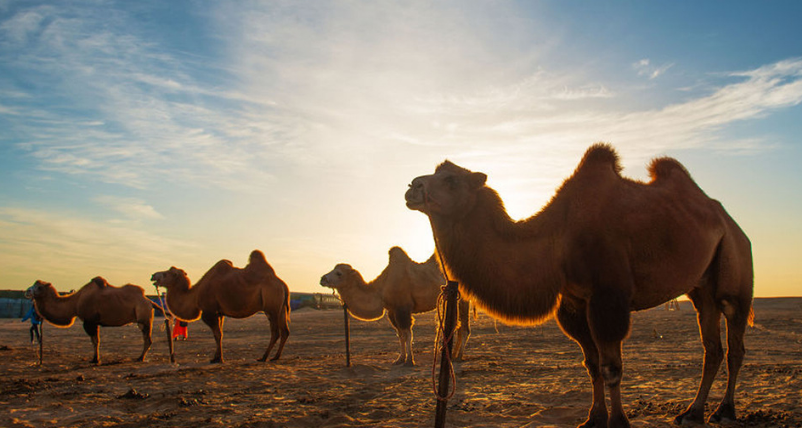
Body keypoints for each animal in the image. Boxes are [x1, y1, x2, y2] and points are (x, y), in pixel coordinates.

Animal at [23, 278, 159, 364]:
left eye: (39, 287)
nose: (27, 291)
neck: (75, 302)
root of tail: (149, 301)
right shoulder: (94, 322)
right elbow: (96, 341)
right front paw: (95, 358)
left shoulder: (89, 322)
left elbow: (94, 341)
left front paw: (95, 359)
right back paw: (140, 357)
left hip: (143, 318)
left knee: (148, 339)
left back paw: (140, 358)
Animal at [148, 249, 290, 362]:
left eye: (167, 273)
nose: (153, 275)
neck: (195, 294)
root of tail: (282, 284)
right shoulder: (219, 313)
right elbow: (220, 334)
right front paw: (216, 357)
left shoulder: (208, 312)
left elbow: (217, 334)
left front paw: (218, 358)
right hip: (280, 308)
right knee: (285, 331)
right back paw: (275, 357)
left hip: (271, 307)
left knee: (275, 332)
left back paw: (264, 357)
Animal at [318, 246, 468, 366]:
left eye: (339, 273)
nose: (322, 279)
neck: (381, 288)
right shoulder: (392, 310)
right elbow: (400, 334)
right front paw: (400, 359)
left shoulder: (403, 308)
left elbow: (408, 334)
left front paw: (409, 361)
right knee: (461, 326)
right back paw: (454, 355)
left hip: (462, 298)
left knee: (464, 327)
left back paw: (458, 356)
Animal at [404, 144, 752, 428]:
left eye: (451, 180)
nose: (412, 186)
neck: (558, 237)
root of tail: (728, 219)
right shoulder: (574, 303)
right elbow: (592, 365)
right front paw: (594, 418)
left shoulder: (607, 299)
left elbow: (611, 367)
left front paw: (619, 422)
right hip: (701, 289)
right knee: (712, 346)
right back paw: (692, 413)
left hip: (735, 266)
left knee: (735, 342)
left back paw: (725, 411)